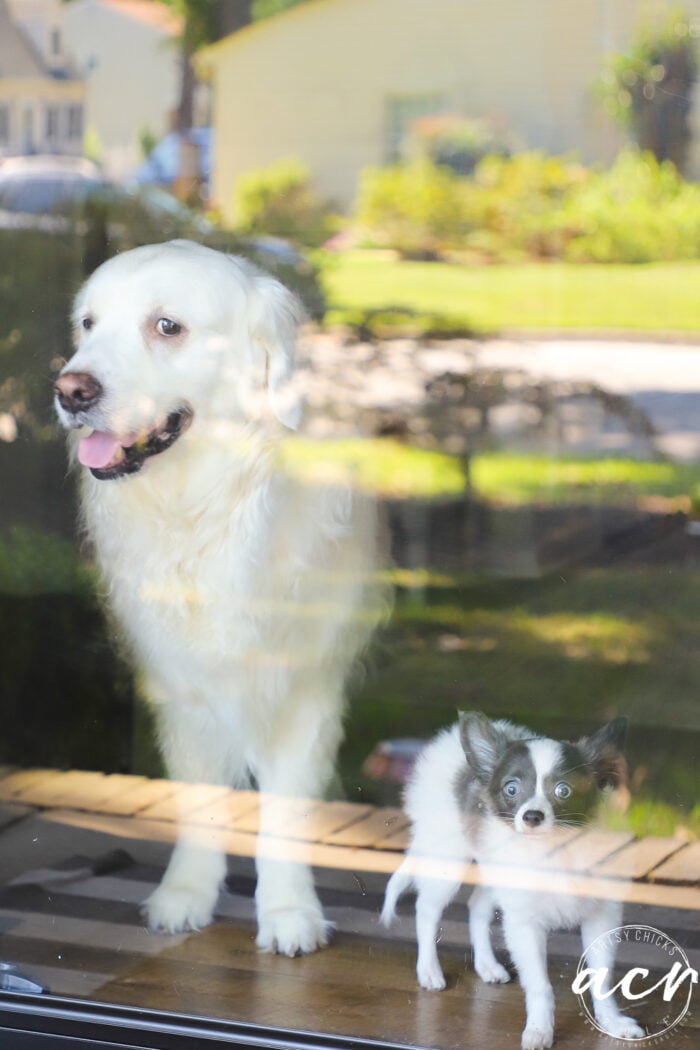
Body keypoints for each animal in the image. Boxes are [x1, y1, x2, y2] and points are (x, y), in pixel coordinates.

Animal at [54, 241, 384, 957]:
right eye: (88, 324)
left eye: (166, 326)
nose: (70, 390)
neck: (210, 506)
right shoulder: (182, 688)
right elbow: (200, 800)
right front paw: (186, 894)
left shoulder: (304, 687)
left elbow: (285, 809)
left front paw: (288, 911)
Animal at [379, 709, 642, 1045]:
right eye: (511, 789)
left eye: (563, 790)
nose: (532, 816)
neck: (555, 850)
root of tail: (448, 740)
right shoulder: (525, 924)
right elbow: (540, 985)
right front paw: (539, 1031)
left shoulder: (602, 915)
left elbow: (602, 977)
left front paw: (612, 1023)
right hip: (448, 861)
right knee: (426, 910)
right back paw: (429, 970)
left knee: (476, 906)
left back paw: (486, 966)